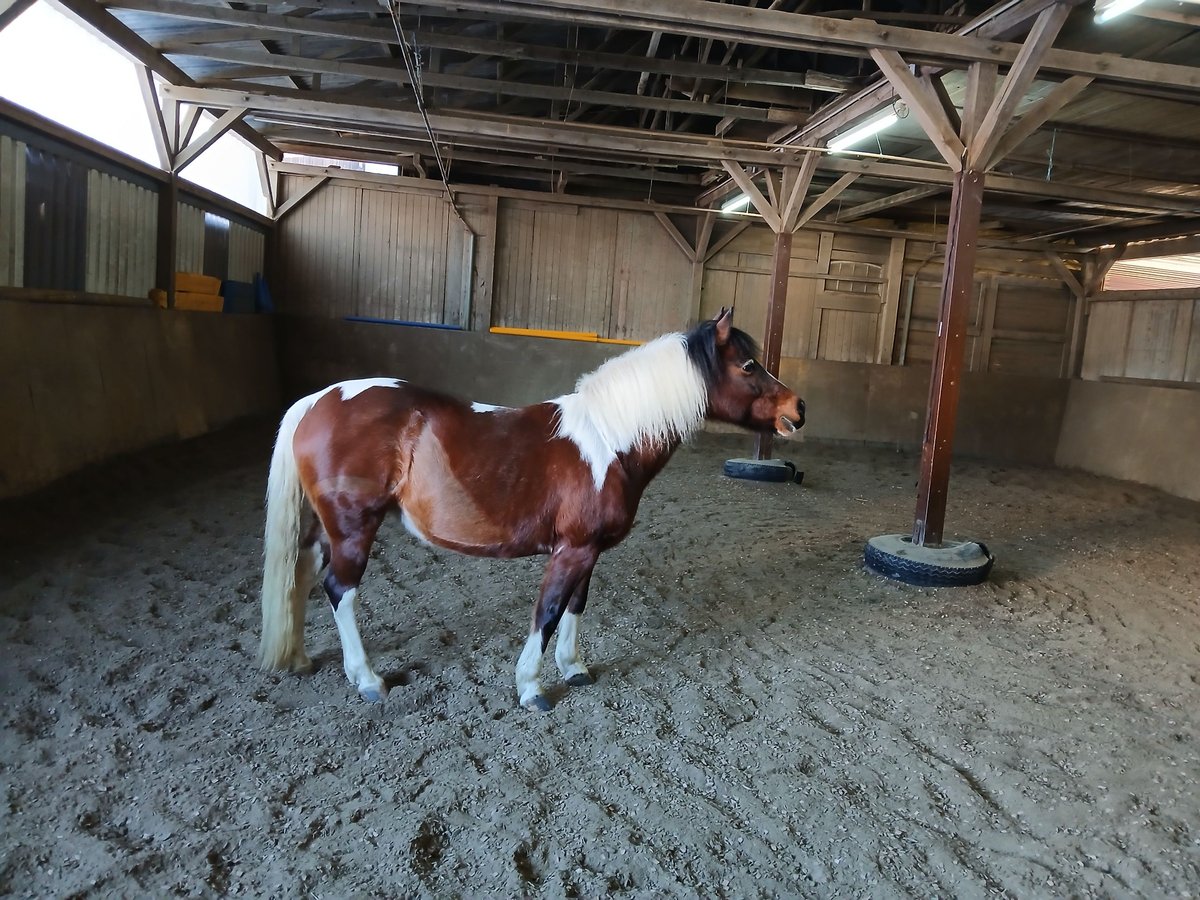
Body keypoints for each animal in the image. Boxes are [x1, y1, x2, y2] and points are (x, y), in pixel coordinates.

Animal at [262, 309, 806, 710]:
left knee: (303, 575)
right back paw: (368, 679)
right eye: (749, 366)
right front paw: (531, 687)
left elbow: (575, 605)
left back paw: (301, 657)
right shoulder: (571, 550)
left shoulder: (588, 551)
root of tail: (319, 399)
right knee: (339, 590)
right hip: (354, 527)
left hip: (326, 528)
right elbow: (547, 611)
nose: (798, 409)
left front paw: (574, 667)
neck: (610, 440)